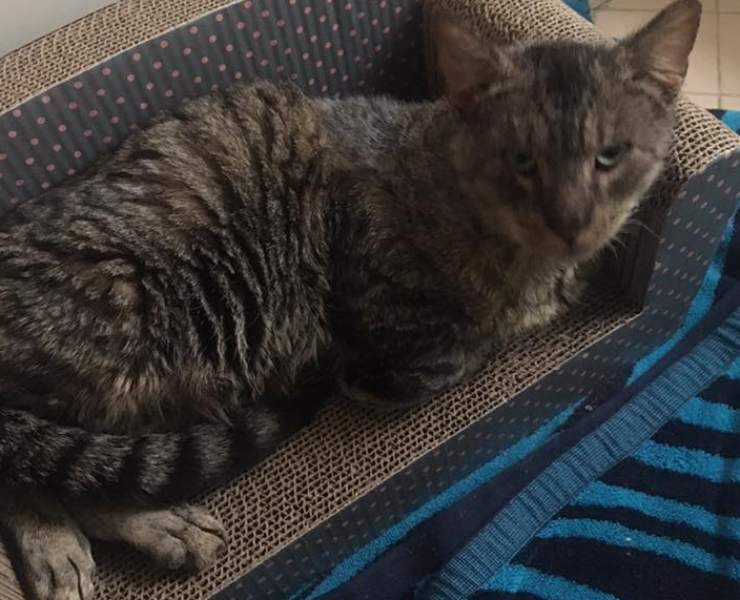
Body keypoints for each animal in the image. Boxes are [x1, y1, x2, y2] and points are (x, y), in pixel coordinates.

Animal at [0, 1, 700, 598]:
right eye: (521, 161)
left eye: (611, 156)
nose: (572, 221)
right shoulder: (361, 290)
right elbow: (449, 350)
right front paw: (387, 373)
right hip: (145, 321)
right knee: (45, 468)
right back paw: (109, 537)